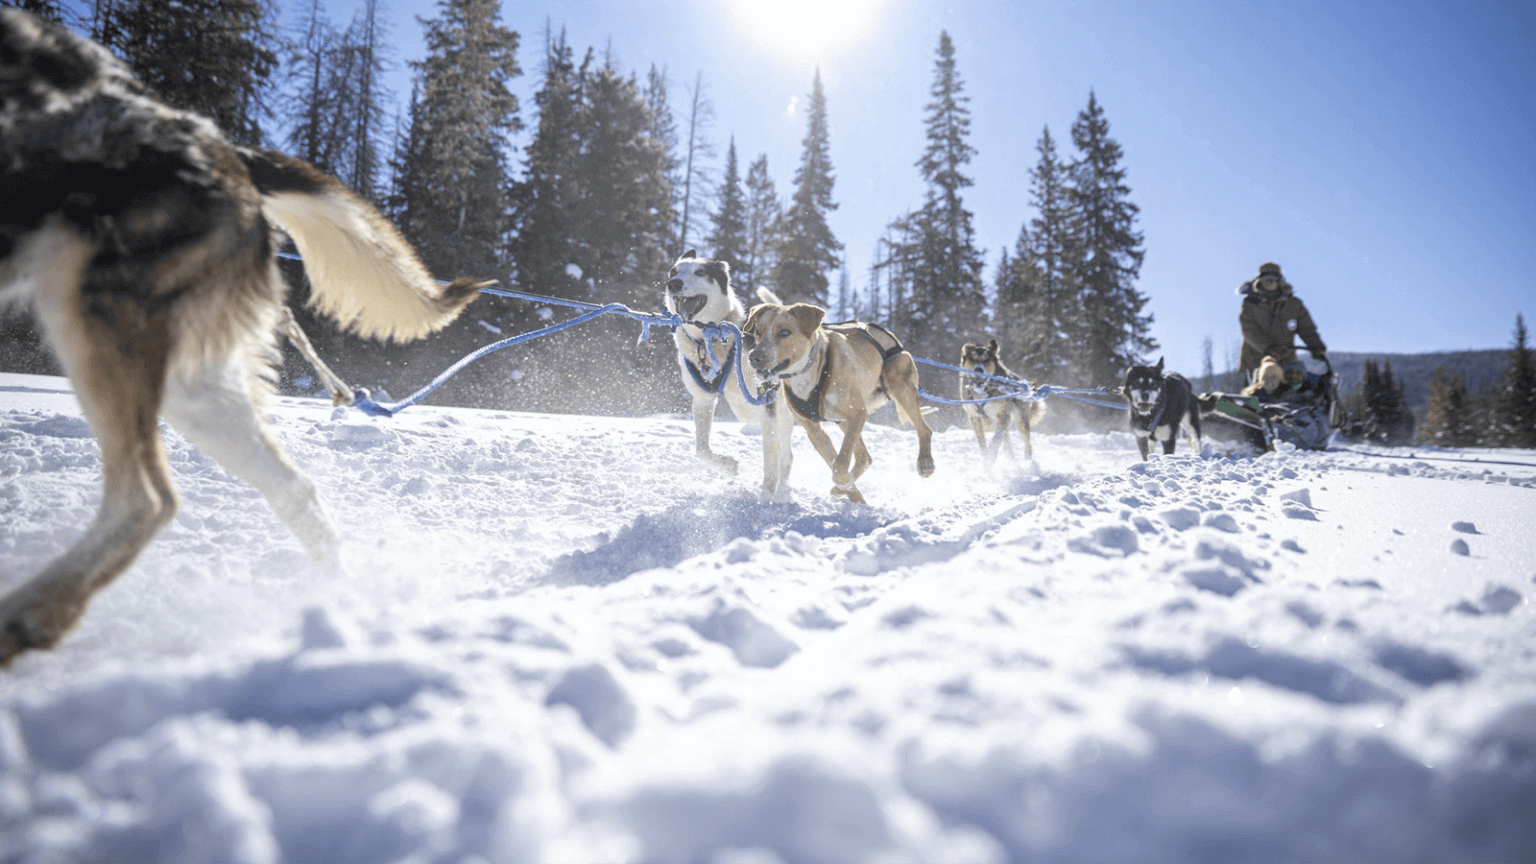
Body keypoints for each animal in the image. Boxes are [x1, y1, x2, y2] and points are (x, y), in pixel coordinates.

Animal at [0, 8, 488, 657]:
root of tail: (223, 145)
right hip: (187, 378)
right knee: (291, 489)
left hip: (91, 314)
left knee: (147, 497)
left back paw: (29, 613)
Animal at [660, 249, 792, 491]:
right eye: (674, 271)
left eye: (701, 272)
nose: (673, 283)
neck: (708, 339)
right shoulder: (703, 398)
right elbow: (701, 450)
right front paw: (728, 465)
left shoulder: (766, 401)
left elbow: (771, 460)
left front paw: (767, 493)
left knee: (785, 455)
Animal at [740, 302, 927, 504]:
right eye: (758, 331)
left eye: (784, 332)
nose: (754, 357)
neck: (810, 373)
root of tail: (890, 336)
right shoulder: (814, 430)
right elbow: (835, 462)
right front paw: (849, 491)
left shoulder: (857, 414)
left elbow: (840, 463)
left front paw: (843, 484)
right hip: (845, 421)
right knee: (864, 457)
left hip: (899, 386)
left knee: (924, 429)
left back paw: (926, 462)